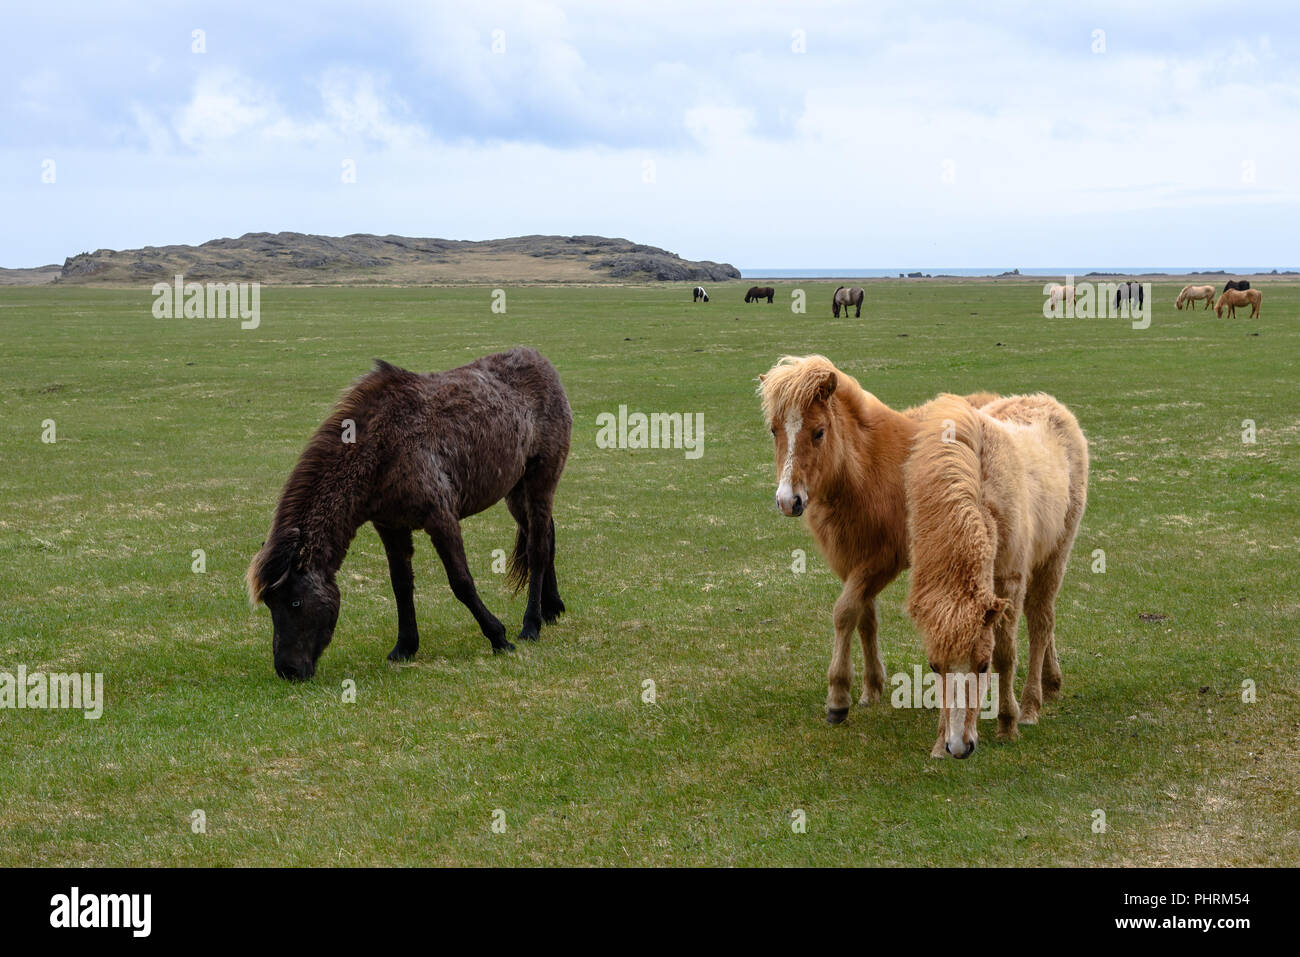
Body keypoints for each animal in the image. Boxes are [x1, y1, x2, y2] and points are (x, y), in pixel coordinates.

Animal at [246, 348, 572, 679]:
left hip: (540, 481)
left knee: (537, 550)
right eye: (271, 604)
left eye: (295, 603)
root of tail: (540, 361)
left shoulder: (441, 519)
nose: (287, 670)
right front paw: (405, 646)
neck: (383, 446)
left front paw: (498, 637)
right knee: (544, 536)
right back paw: (551, 608)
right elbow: (401, 586)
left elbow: (461, 582)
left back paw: (531, 625)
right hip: (516, 491)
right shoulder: (390, 527)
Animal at [756, 355, 998, 724]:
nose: (788, 500)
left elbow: (844, 613)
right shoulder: (851, 562)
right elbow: (865, 619)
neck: (865, 469)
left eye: (818, 432)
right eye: (774, 430)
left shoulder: (881, 562)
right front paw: (871, 688)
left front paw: (838, 696)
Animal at [904, 393, 1088, 759]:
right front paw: (938, 742)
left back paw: (1031, 706)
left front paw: (1007, 723)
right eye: (933, 666)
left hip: (1055, 556)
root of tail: (1049, 403)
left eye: (983, 665)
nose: (959, 747)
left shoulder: (1008, 582)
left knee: (1041, 622)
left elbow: (1007, 654)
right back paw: (1051, 682)